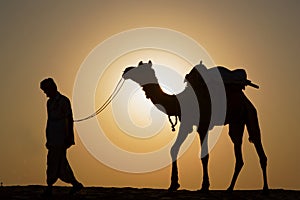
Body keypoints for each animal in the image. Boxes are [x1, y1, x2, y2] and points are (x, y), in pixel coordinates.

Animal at [122, 59, 270, 192]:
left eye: (140, 69)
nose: (125, 70)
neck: (179, 102)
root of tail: (245, 100)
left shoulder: (203, 125)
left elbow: (204, 155)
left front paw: (205, 186)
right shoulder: (186, 124)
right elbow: (174, 149)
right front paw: (174, 184)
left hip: (250, 114)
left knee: (257, 144)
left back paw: (265, 188)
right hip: (237, 122)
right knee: (239, 151)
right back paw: (230, 188)